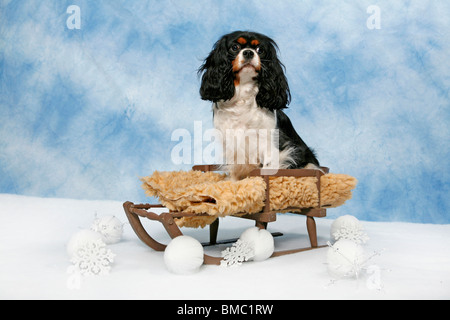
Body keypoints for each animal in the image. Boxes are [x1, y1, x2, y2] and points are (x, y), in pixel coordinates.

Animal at [198, 30, 320, 181]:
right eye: (235, 47)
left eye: (260, 50)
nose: (248, 52)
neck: (244, 91)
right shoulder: (231, 143)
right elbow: (234, 167)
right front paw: (232, 182)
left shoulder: (270, 144)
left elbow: (268, 167)